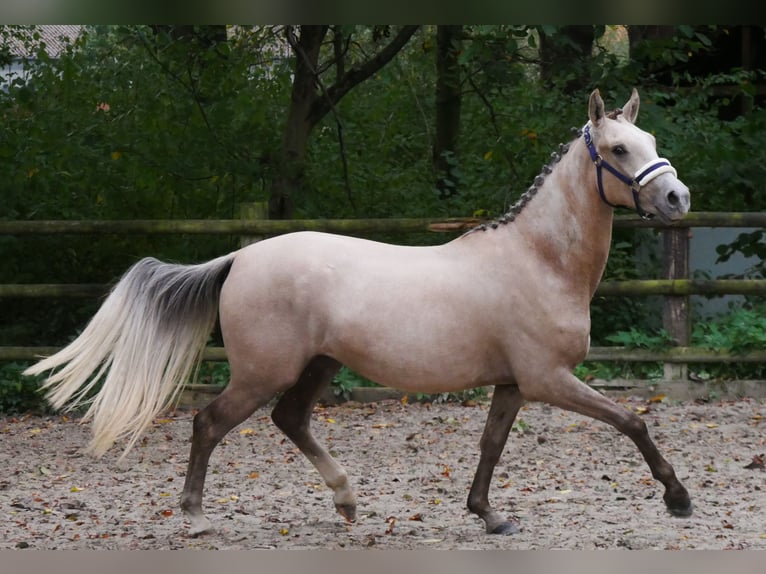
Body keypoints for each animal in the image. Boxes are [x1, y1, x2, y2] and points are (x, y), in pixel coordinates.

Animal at [24, 88, 696, 536]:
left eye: (654, 144)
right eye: (618, 148)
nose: (677, 197)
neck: (539, 260)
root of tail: (240, 258)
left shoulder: (513, 383)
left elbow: (490, 445)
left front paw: (488, 515)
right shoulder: (549, 379)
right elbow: (632, 422)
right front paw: (678, 498)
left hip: (317, 365)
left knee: (290, 420)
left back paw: (346, 502)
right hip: (263, 372)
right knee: (209, 423)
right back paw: (193, 517)